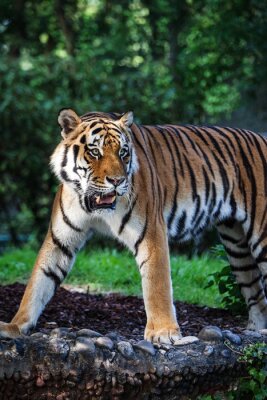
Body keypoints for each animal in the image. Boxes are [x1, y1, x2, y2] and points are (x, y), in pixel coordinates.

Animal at [0, 107, 267, 344]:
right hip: (237, 247)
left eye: (123, 152)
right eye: (94, 152)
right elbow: (38, 282)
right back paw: (256, 330)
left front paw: (163, 332)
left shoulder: (151, 232)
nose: (117, 181)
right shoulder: (59, 239)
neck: (91, 204)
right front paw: (14, 326)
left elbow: (157, 284)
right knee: (256, 294)